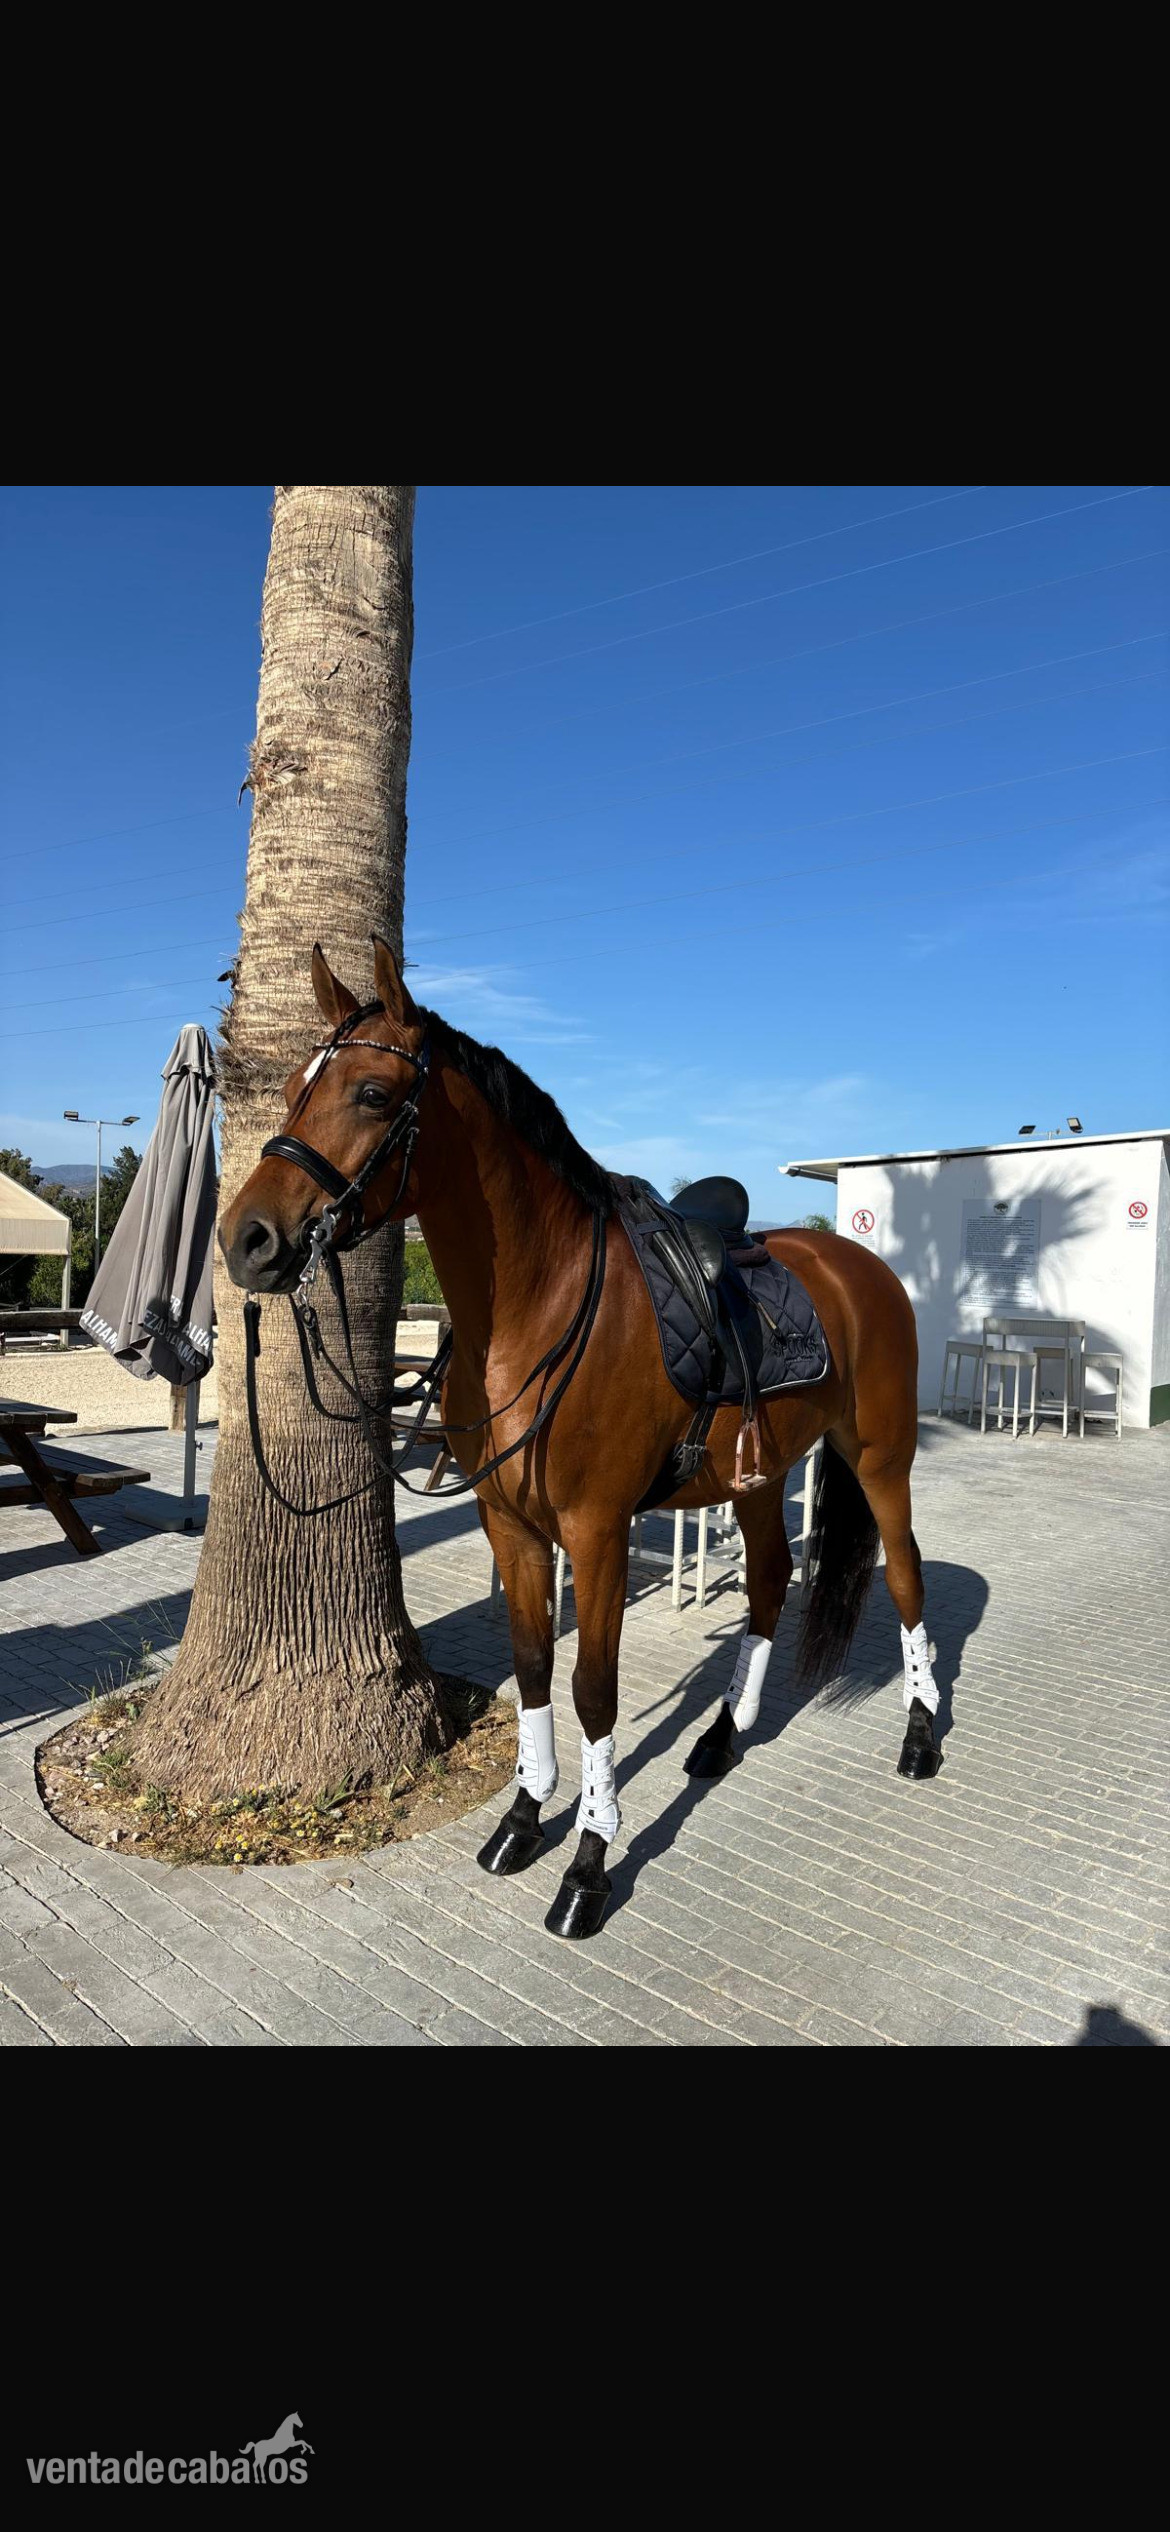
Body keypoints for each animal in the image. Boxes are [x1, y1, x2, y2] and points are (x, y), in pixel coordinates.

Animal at [220, 937, 941, 1942]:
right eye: (291, 1087)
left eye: (370, 1093)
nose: (246, 1239)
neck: (543, 1303)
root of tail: (860, 1264)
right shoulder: (512, 1526)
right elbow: (531, 1668)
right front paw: (525, 1819)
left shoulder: (597, 1532)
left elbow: (594, 1689)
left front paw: (590, 1864)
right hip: (758, 1480)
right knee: (766, 1583)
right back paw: (723, 1735)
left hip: (881, 1460)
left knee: (906, 1577)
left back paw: (920, 1734)